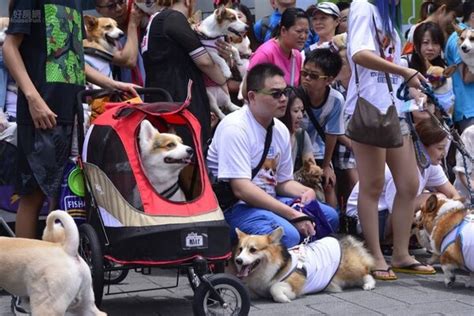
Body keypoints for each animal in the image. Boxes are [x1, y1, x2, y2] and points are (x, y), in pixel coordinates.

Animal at [231, 226, 376, 302]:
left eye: (253, 250)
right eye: (240, 249)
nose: (238, 260)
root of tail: (343, 236)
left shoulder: (295, 281)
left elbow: (275, 288)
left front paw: (284, 298)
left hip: (348, 269)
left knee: (366, 271)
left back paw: (369, 284)